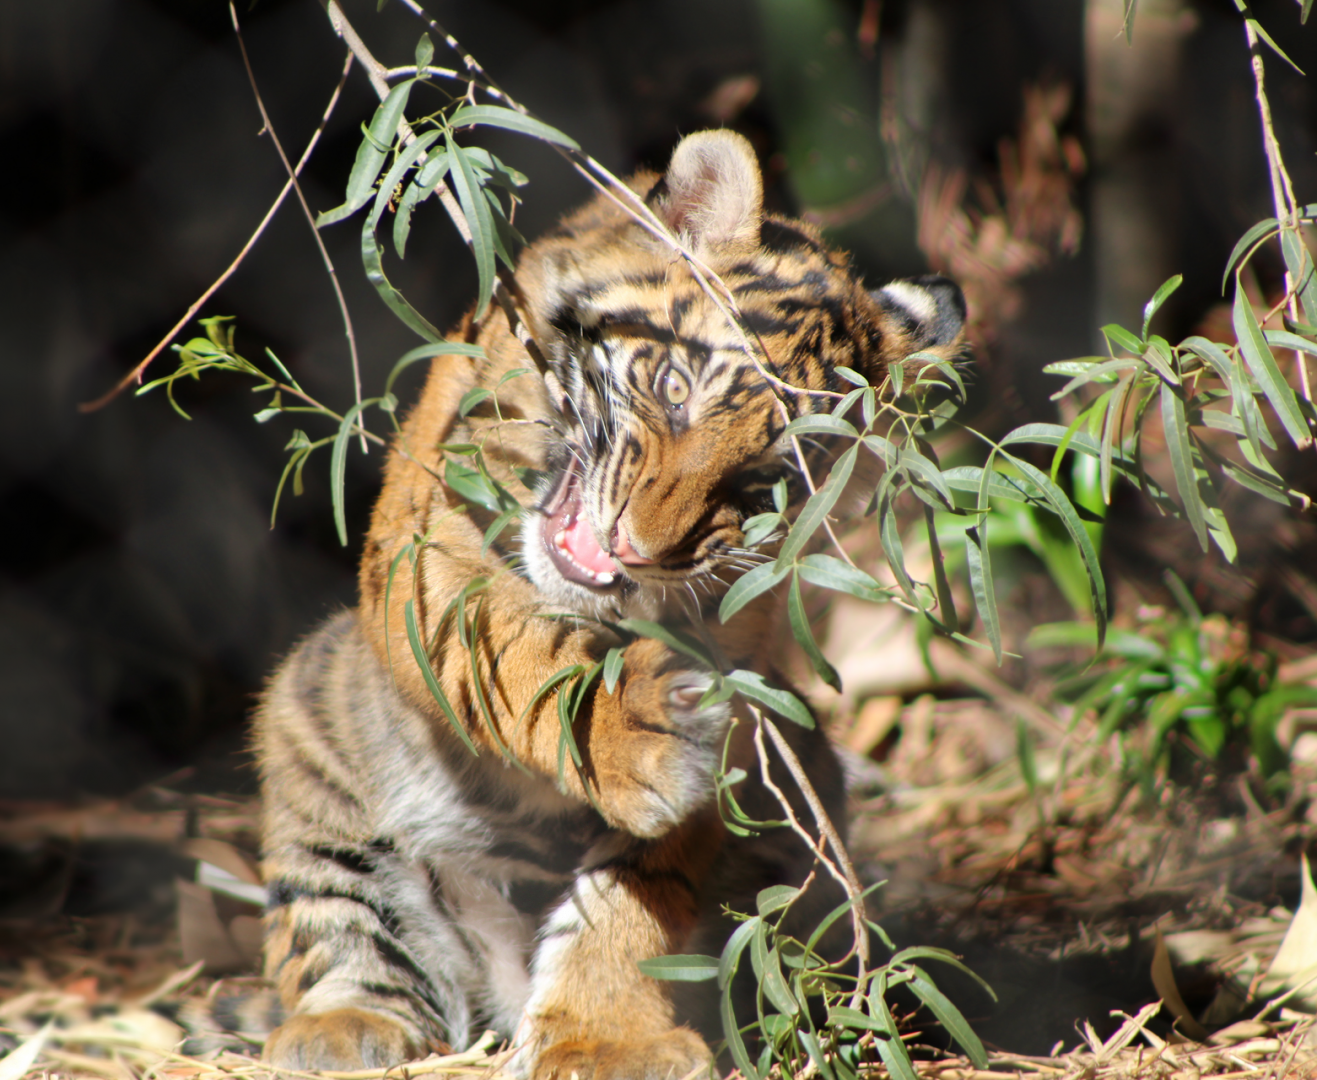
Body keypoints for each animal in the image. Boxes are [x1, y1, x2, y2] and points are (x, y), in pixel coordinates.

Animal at [253, 129, 966, 1078]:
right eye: (671, 387)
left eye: (771, 477)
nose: (638, 547)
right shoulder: (424, 538)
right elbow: (508, 653)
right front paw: (632, 731)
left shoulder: (739, 678)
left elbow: (638, 889)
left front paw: (606, 1037)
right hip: (312, 716)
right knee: (343, 929)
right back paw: (339, 1027)